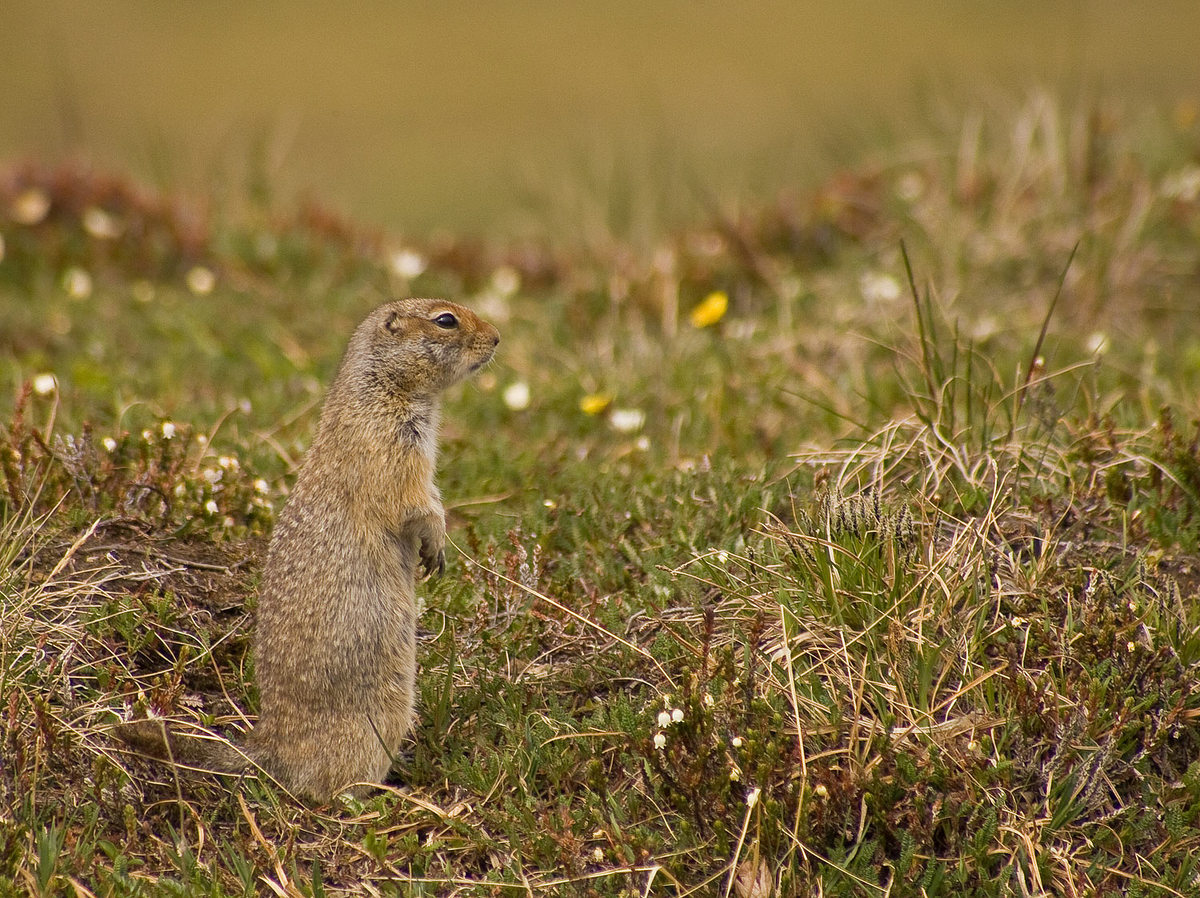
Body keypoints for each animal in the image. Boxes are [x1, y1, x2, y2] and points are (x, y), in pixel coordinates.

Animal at [114, 298, 499, 800]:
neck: (383, 387)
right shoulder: (389, 446)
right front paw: (436, 543)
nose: (497, 338)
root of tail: (269, 745)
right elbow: (412, 499)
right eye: (446, 320)